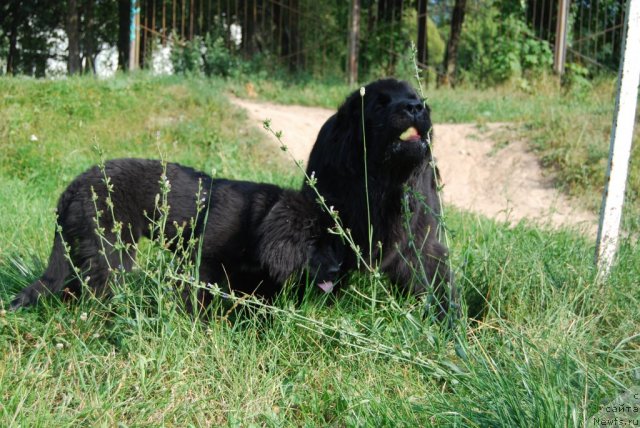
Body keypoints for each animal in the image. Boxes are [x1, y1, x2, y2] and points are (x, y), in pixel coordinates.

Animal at [10, 159, 342, 310]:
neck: (256, 221)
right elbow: (195, 296)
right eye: (313, 242)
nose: (338, 269)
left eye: (329, 240)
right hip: (113, 250)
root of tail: (73, 187)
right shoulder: (200, 261)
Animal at [304, 77, 458, 318]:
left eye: (416, 99)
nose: (414, 108)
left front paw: (446, 318)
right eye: (379, 105)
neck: (384, 180)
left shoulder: (422, 242)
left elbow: (432, 276)